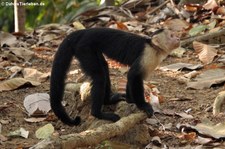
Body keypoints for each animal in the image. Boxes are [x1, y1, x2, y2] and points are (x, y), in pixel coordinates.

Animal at [50, 27, 180, 125]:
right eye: (171, 36)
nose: (178, 38)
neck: (153, 46)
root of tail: (83, 31)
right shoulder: (148, 55)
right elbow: (133, 75)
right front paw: (142, 105)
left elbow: (133, 78)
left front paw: (130, 99)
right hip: (84, 48)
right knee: (99, 76)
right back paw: (98, 114)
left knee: (104, 67)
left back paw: (108, 101)